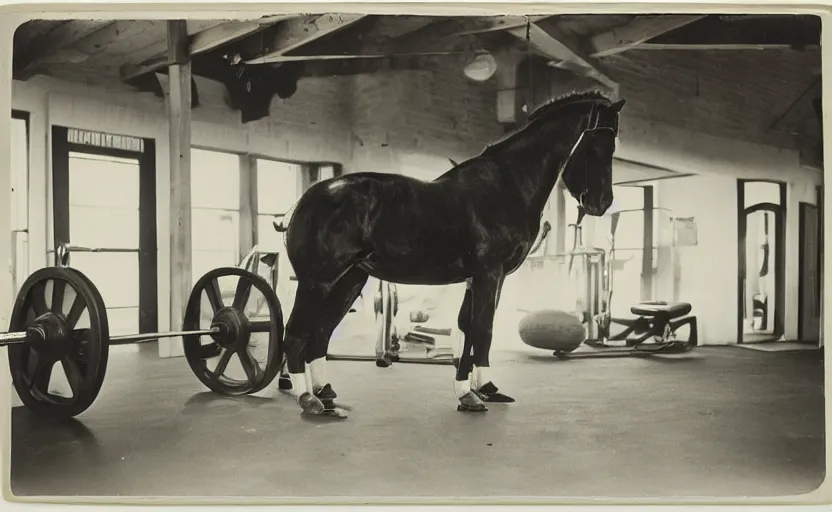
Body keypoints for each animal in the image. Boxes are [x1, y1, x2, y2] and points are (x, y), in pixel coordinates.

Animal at [280, 89, 624, 416]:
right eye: (596, 145)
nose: (601, 203)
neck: (507, 186)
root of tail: (305, 201)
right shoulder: (488, 274)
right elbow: (483, 329)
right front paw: (474, 395)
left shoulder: (482, 279)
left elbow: (466, 330)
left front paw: (477, 391)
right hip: (317, 282)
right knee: (295, 334)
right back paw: (308, 399)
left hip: (349, 281)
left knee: (320, 333)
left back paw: (325, 393)